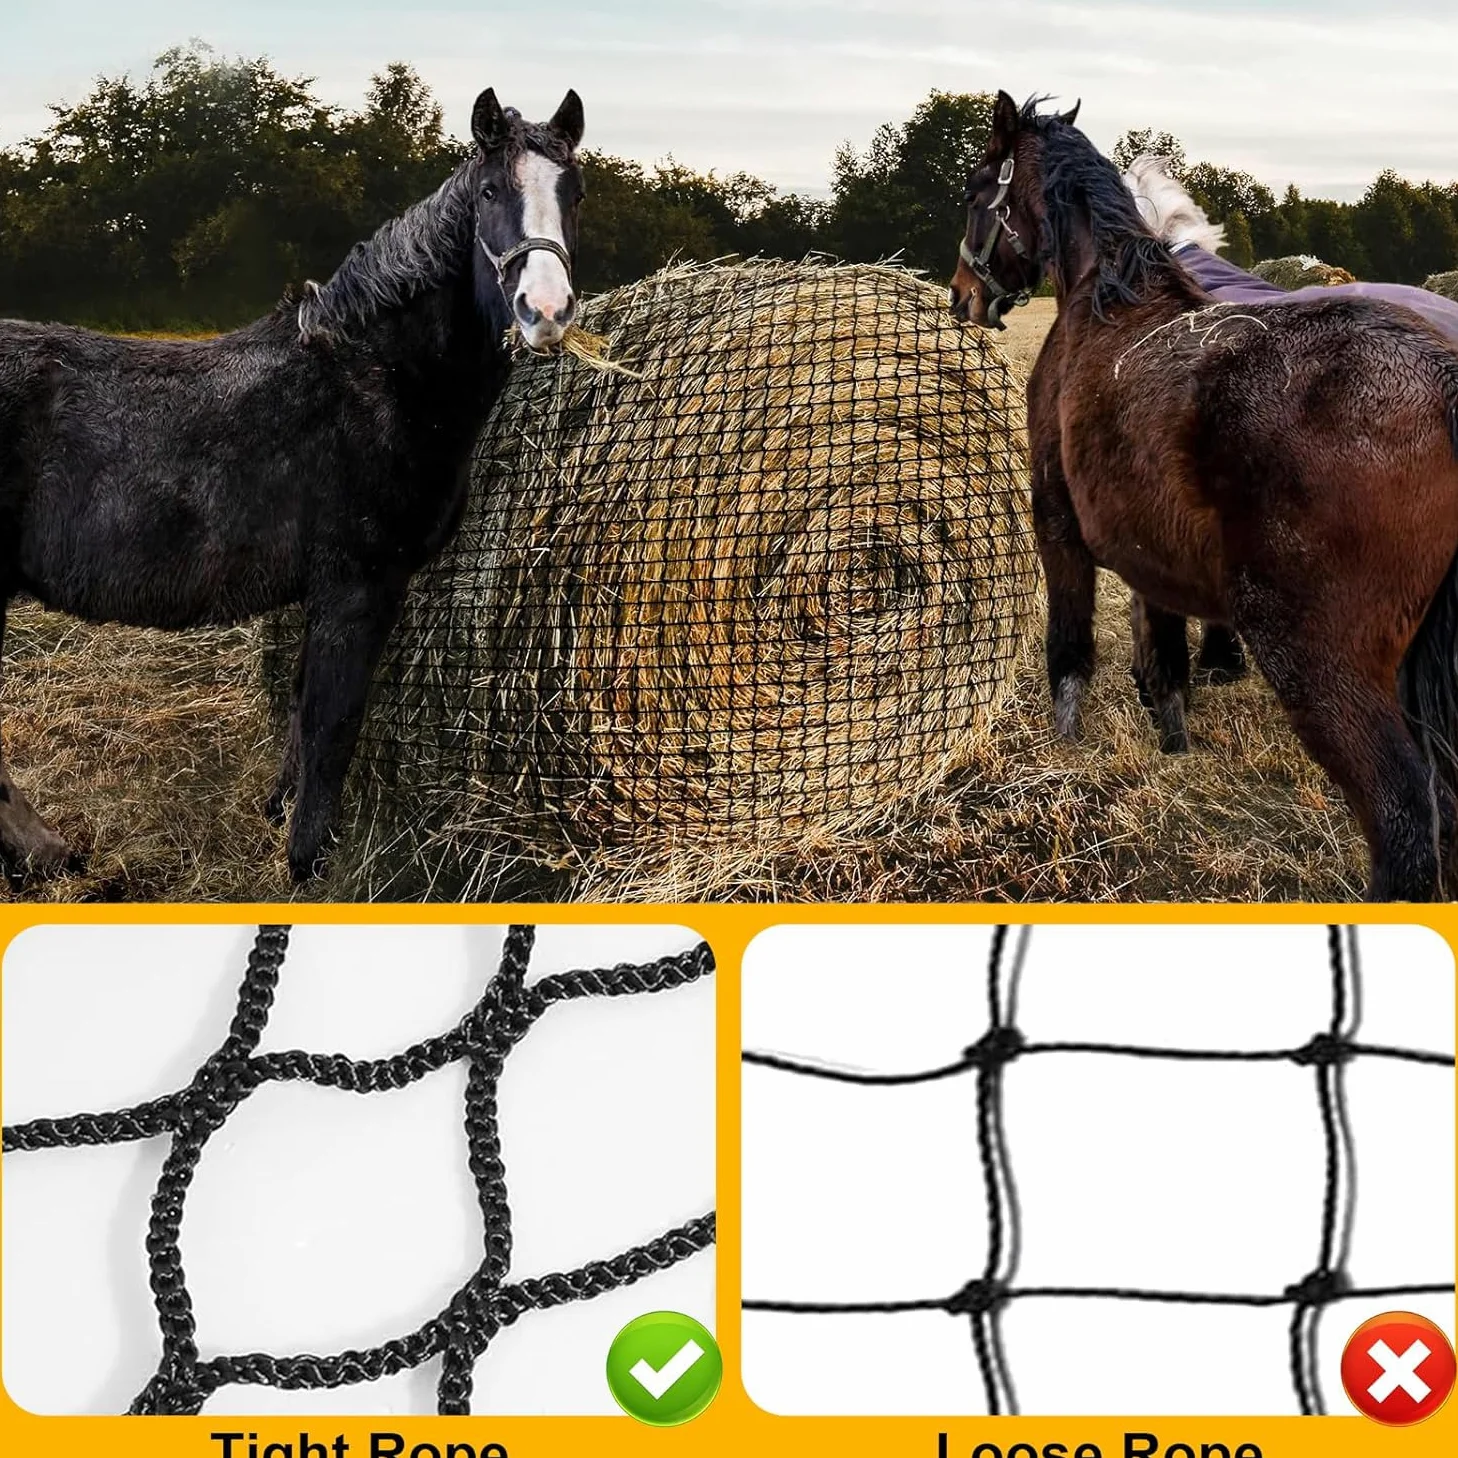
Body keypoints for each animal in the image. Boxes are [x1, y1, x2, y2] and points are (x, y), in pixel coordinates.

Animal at [0, 87, 585, 884]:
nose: (545, 313)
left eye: (574, 193)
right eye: (492, 191)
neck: (375, 378)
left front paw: (280, 816)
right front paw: (308, 864)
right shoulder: (360, 583)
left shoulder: (325, 589)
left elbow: (304, 708)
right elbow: (331, 724)